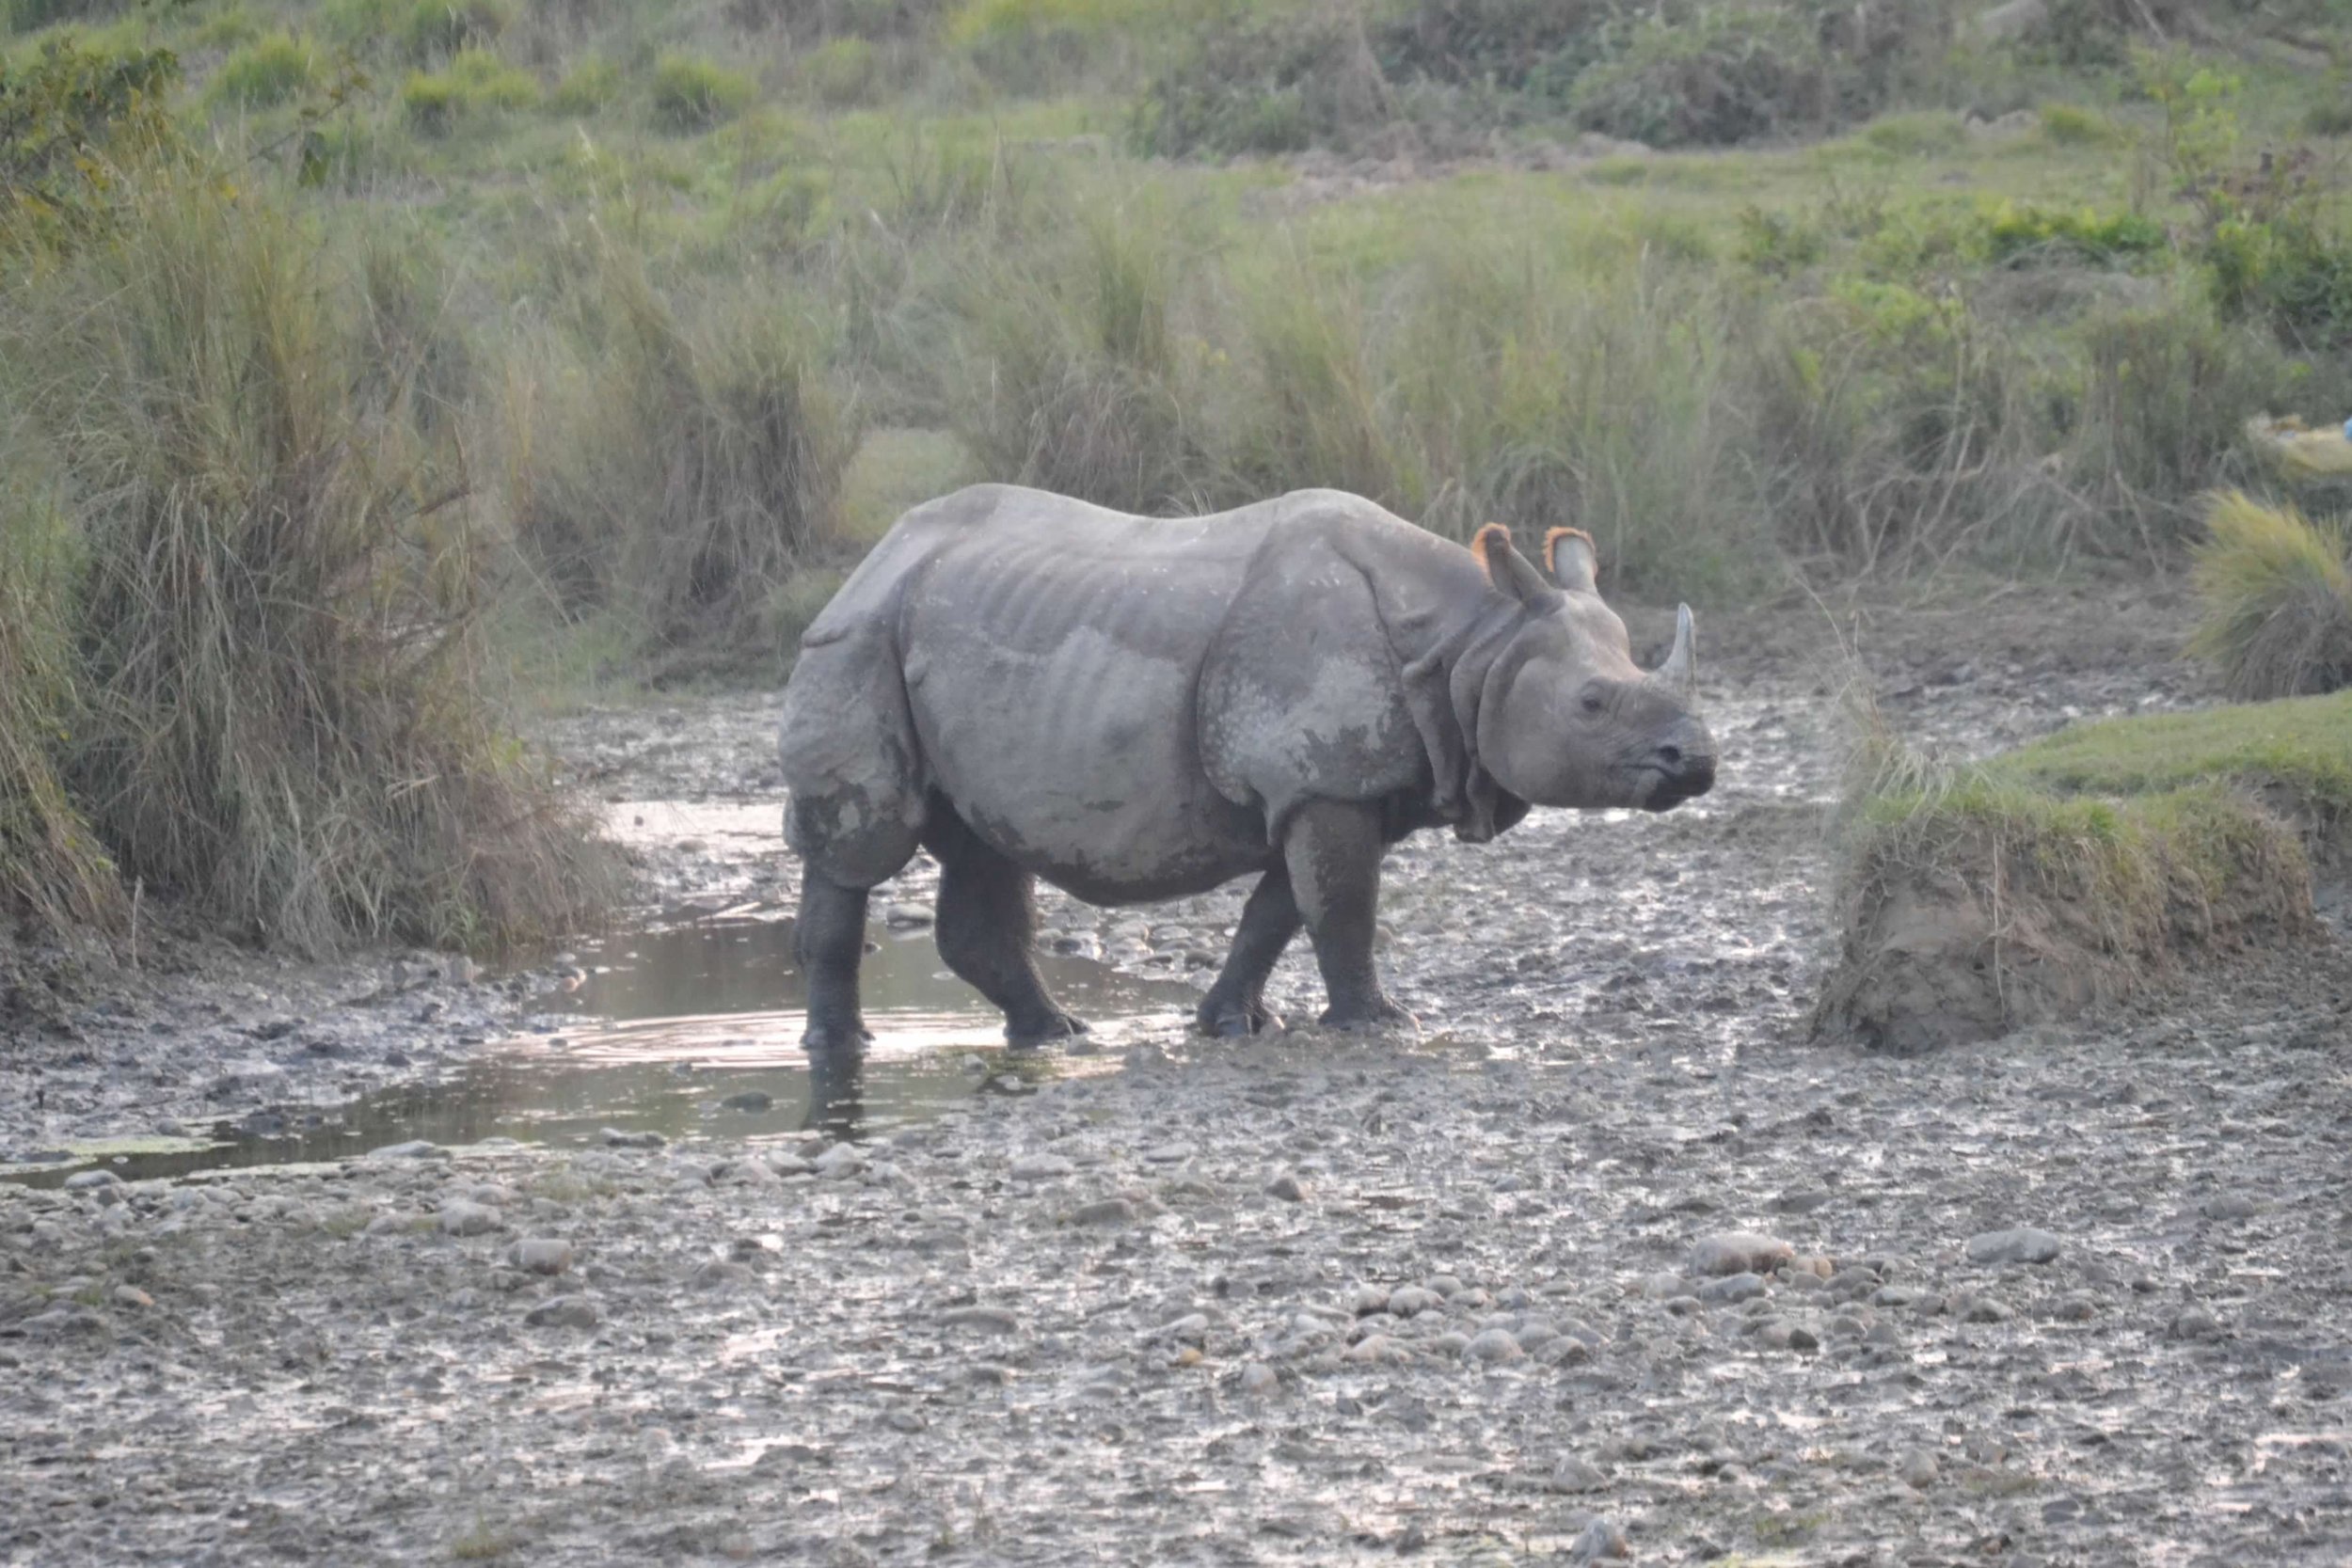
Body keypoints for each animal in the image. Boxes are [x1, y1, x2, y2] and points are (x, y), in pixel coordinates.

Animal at [777, 484, 1715, 1051]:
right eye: (1592, 703)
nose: (1697, 761)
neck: (1472, 638)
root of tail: (875, 556)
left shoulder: (1326, 787)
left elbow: (1279, 913)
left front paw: (1232, 1021)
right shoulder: (1324, 779)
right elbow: (1341, 911)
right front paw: (1381, 1023)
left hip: (942, 638)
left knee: (985, 846)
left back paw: (1057, 1033)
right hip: (855, 642)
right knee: (861, 847)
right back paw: (841, 1045)